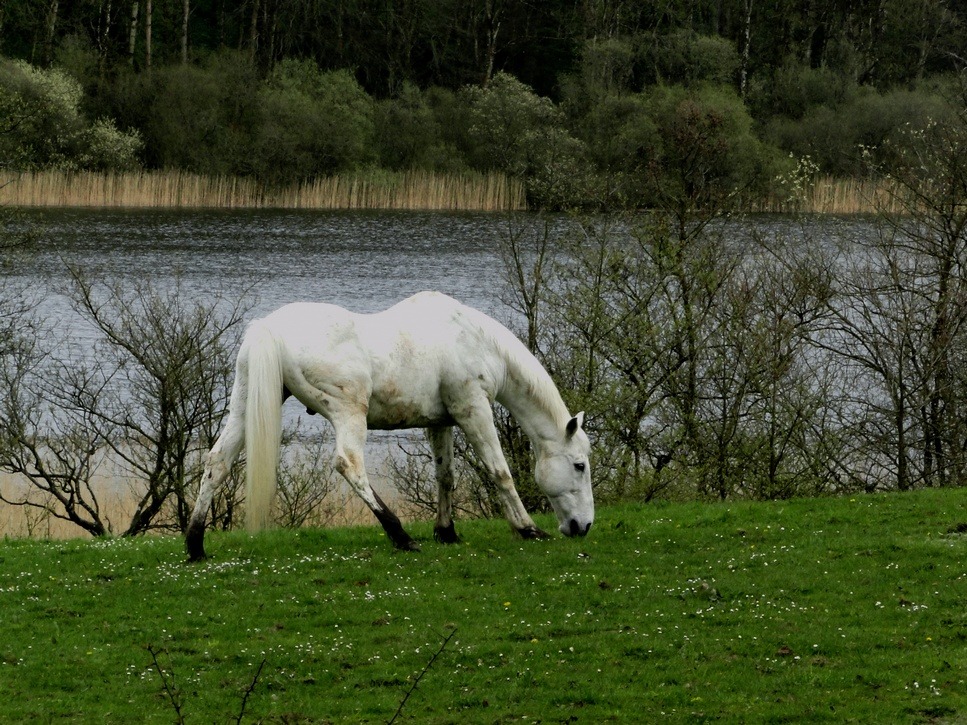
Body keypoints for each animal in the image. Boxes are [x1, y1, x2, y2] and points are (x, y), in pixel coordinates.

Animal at [185, 291, 593, 560]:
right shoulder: (473, 410)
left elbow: (445, 477)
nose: (583, 527)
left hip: (243, 408)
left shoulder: (441, 422)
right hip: (350, 413)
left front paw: (446, 532)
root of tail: (269, 328)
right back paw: (399, 535)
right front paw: (527, 528)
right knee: (349, 465)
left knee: (217, 463)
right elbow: (500, 472)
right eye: (579, 466)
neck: (473, 339)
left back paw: (195, 544)